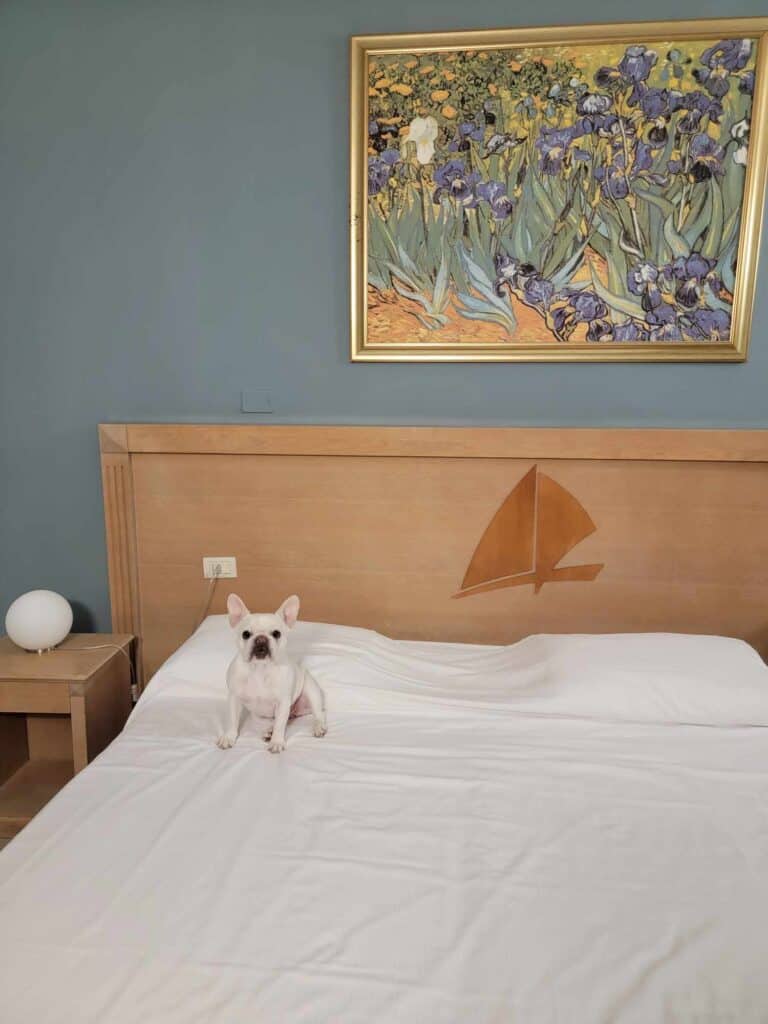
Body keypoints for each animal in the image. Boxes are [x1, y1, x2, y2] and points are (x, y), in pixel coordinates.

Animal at [217, 593, 327, 753]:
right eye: (245, 634)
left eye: (276, 633)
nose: (261, 639)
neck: (260, 668)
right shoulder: (234, 699)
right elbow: (232, 721)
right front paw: (228, 737)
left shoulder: (282, 702)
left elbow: (280, 725)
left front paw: (276, 742)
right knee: (276, 721)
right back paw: (269, 731)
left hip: (311, 690)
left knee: (318, 713)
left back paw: (318, 727)